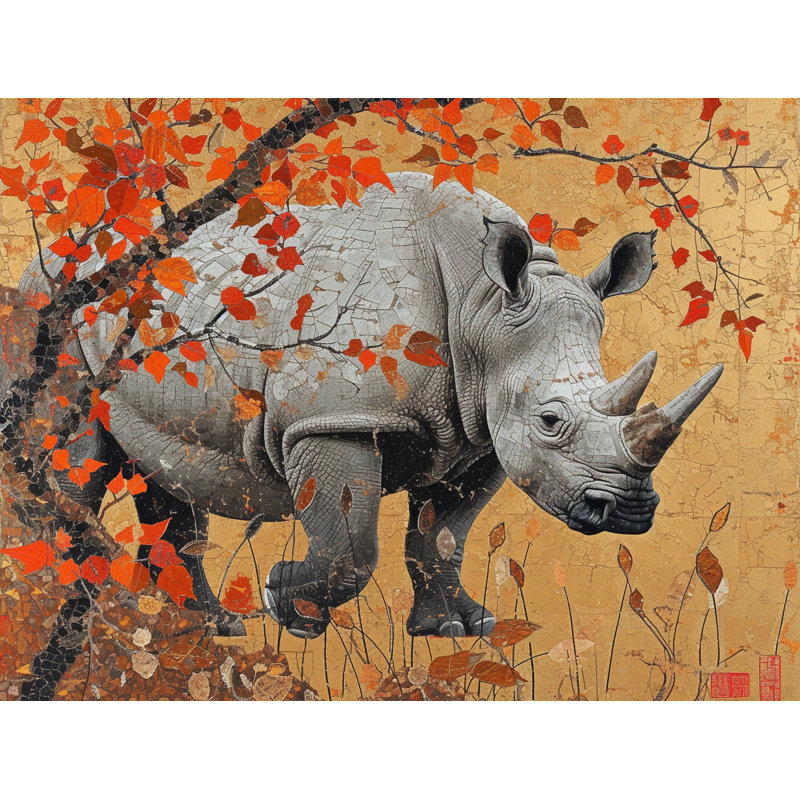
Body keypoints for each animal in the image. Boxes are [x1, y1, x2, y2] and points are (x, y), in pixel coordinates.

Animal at [17, 171, 723, 639]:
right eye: (551, 421)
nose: (628, 512)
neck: (483, 309)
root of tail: (50, 261)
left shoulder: (480, 433)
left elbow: (441, 537)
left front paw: (457, 630)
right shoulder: (333, 419)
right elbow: (353, 547)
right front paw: (287, 606)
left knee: (165, 473)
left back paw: (205, 630)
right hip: (49, 318)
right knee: (78, 453)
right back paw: (77, 606)